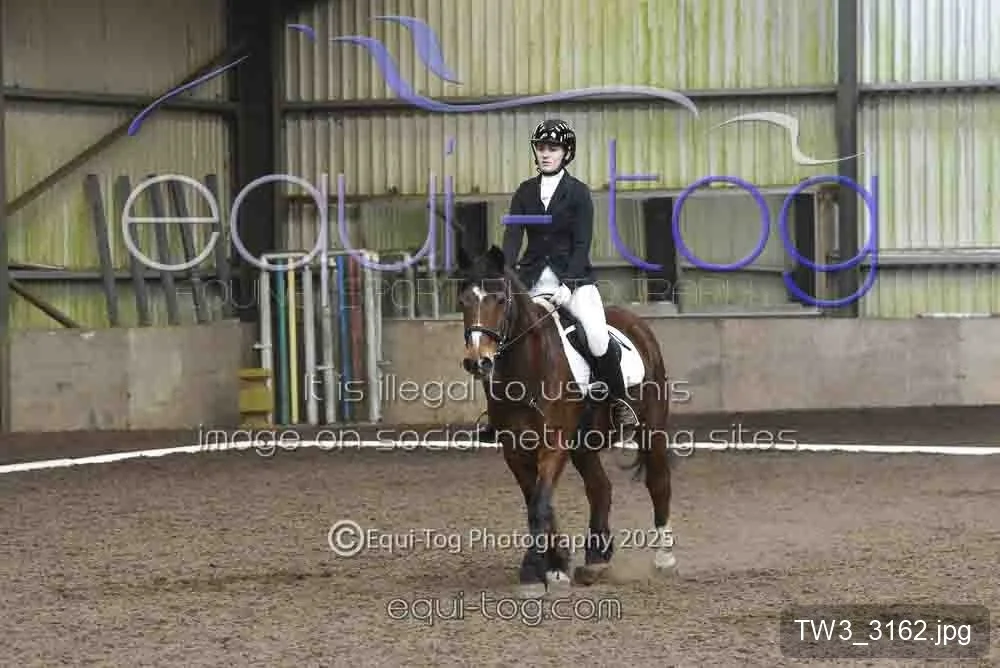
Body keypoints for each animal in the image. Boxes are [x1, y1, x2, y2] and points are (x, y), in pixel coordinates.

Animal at [453, 245, 676, 597]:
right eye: (463, 301)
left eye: (499, 299)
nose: (478, 361)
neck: (527, 369)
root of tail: (636, 322)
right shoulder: (515, 452)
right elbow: (538, 503)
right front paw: (554, 567)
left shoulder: (554, 444)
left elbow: (539, 505)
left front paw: (532, 573)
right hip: (583, 445)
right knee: (600, 488)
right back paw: (596, 559)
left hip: (650, 429)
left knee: (658, 481)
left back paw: (664, 558)